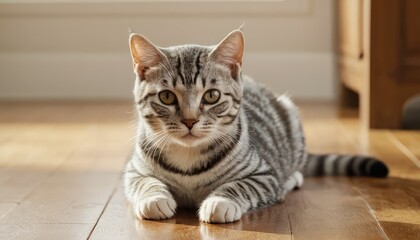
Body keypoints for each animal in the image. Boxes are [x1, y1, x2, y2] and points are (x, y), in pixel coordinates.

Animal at [123, 28, 388, 223]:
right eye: (167, 97)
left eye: (212, 96)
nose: (189, 120)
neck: (188, 158)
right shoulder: (134, 169)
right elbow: (144, 181)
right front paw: (154, 198)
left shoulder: (262, 174)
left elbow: (240, 186)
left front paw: (220, 201)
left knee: (291, 174)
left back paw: (290, 180)